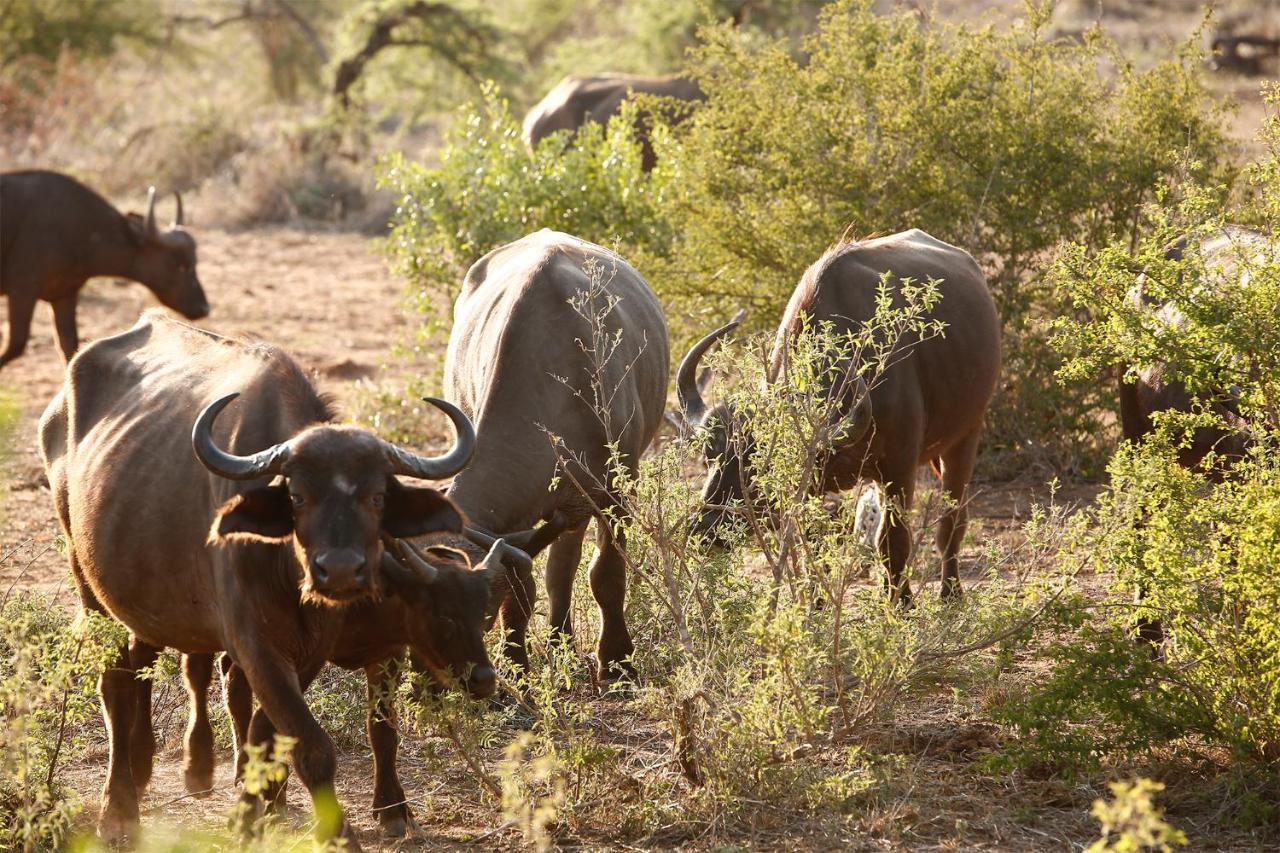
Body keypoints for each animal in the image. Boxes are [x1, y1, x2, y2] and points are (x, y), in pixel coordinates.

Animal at [0, 169, 207, 366]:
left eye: (194, 262)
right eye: (181, 266)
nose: (203, 308)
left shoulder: (64, 295)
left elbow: (70, 347)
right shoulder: (22, 291)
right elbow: (15, 344)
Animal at [442, 227, 670, 676]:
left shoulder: (617, 490)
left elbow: (606, 574)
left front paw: (617, 660)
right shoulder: (525, 520)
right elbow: (522, 588)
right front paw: (516, 663)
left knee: (567, 561)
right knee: (559, 565)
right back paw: (558, 640)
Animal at [680, 229, 998, 601]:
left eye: (761, 469)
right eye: (709, 457)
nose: (704, 530)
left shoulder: (900, 467)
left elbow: (894, 540)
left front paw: (901, 603)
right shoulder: (813, 485)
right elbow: (813, 542)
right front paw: (815, 604)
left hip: (966, 436)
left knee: (952, 521)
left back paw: (950, 592)